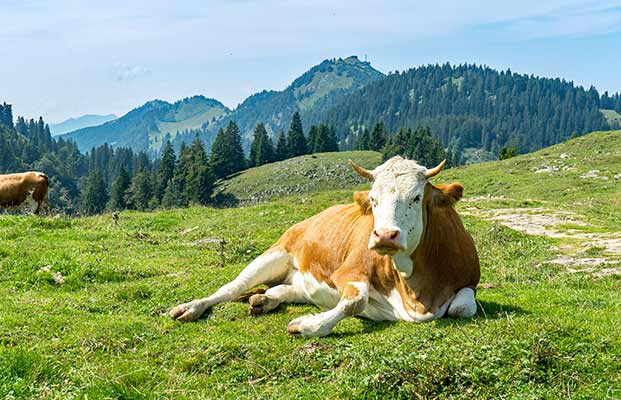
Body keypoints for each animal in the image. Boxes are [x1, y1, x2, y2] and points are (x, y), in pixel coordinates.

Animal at [170, 157, 480, 338]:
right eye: (373, 199)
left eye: (416, 197)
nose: (384, 235)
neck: (417, 293)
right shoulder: (348, 271)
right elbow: (356, 301)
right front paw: (308, 326)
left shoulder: (470, 282)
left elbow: (461, 307)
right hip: (274, 254)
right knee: (231, 288)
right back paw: (191, 307)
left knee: (283, 290)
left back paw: (263, 300)